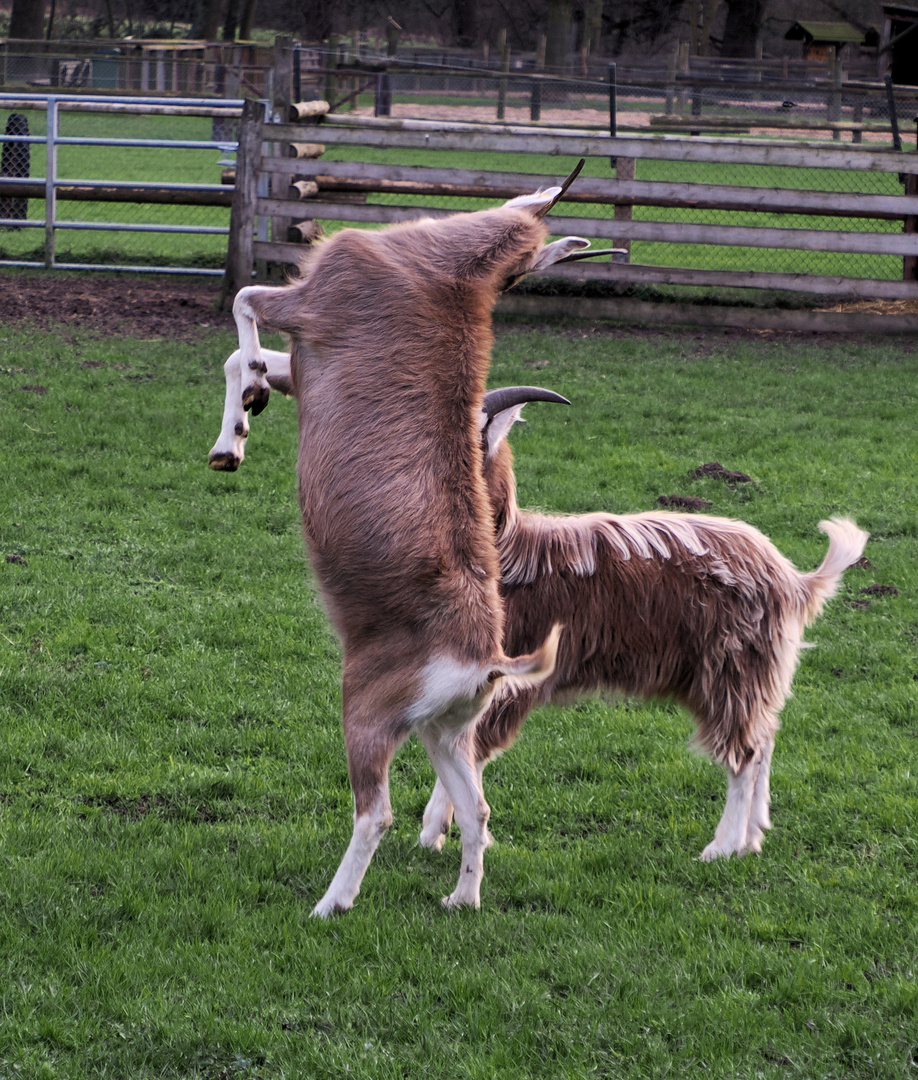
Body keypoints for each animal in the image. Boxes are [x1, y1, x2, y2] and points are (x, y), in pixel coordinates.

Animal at [419, 393, 864, 864]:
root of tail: (794, 581)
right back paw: (753, 835)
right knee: (765, 737)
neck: (507, 550)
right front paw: (441, 830)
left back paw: (722, 846)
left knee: (744, 751)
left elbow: (468, 750)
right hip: (755, 671)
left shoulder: (507, 679)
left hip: (733, 665)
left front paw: (436, 831)